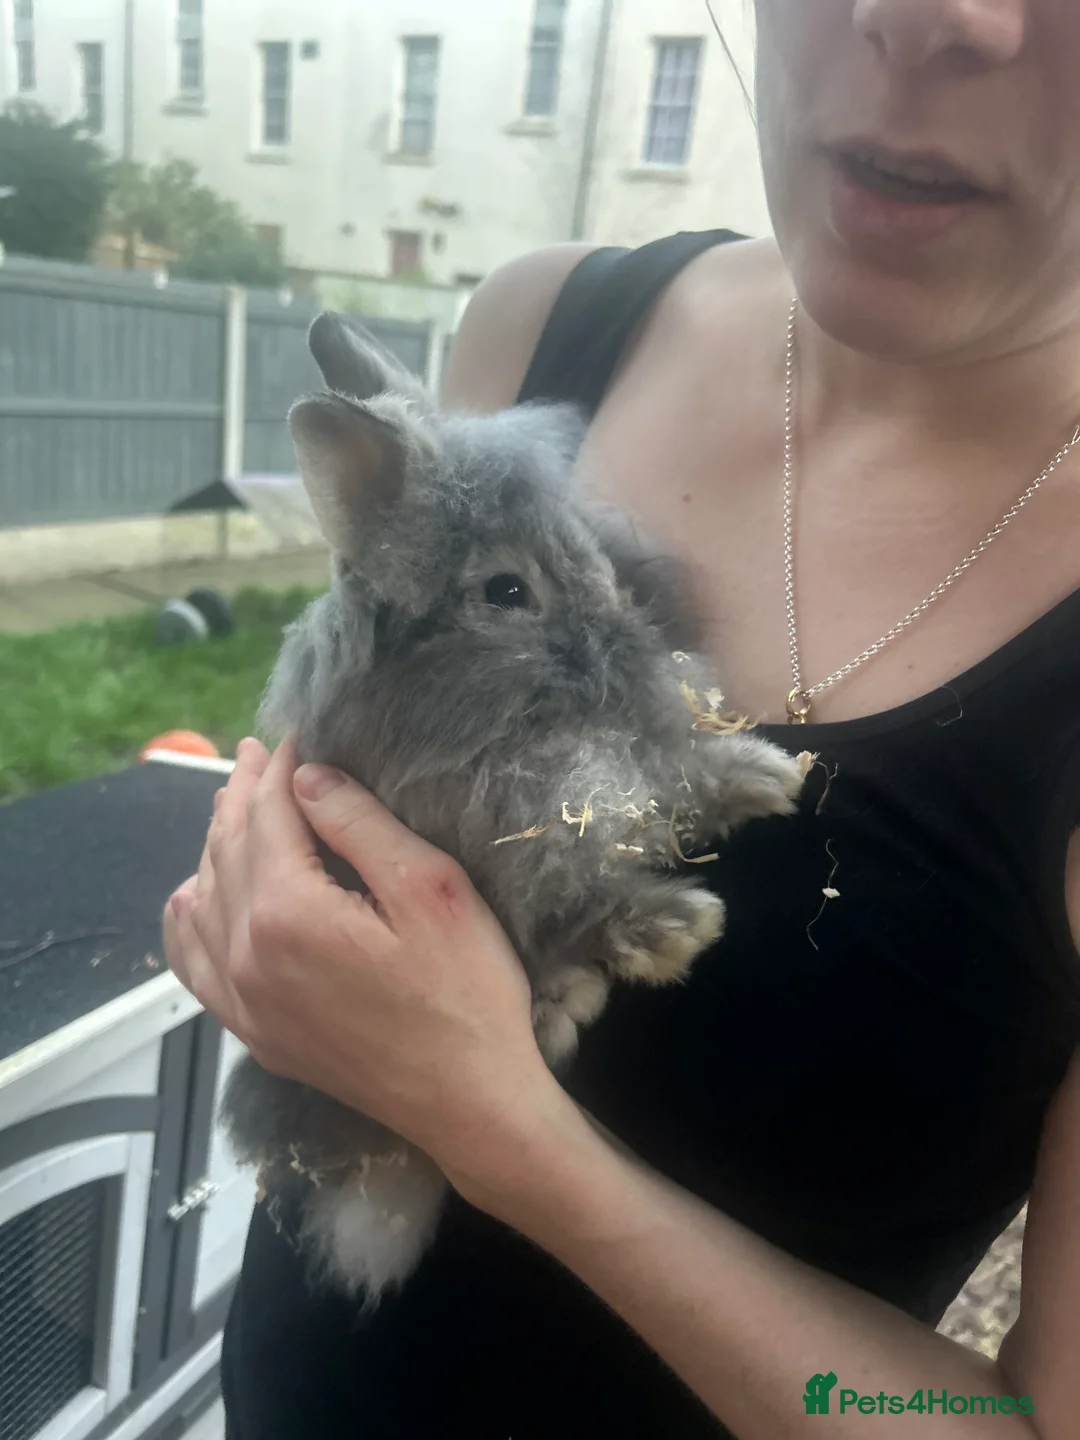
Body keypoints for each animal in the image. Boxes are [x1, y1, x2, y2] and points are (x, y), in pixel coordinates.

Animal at [220, 311, 807, 1306]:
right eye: (506, 592)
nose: (629, 646)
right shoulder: (516, 852)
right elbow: (581, 900)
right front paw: (677, 930)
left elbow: (683, 781)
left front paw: (768, 776)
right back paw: (564, 999)